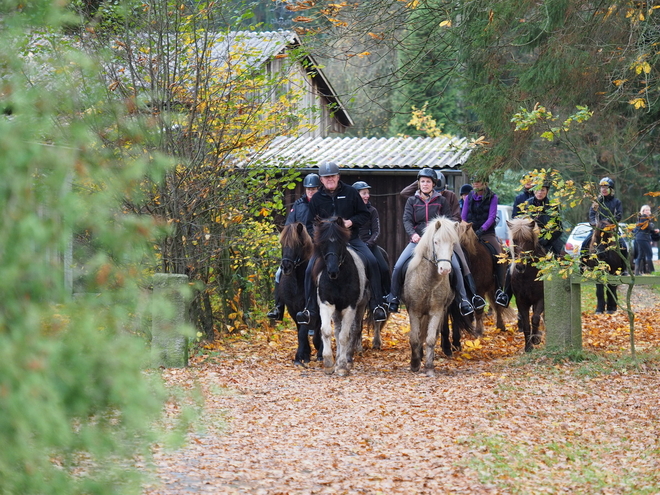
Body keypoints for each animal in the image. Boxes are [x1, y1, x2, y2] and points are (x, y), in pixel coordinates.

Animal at [278, 223, 322, 366]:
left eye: (297, 244)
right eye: (282, 243)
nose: (286, 267)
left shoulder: (308, 309)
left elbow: (303, 331)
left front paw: (301, 356)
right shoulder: (293, 308)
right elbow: (299, 331)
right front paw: (304, 354)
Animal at [312, 217, 368, 376]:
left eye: (340, 243)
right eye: (323, 242)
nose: (332, 271)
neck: (338, 280)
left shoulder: (350, 307)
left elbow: (345, 336)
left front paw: (342, 365)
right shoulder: (326, 304)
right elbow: (326, 331)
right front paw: (329, 363)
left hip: (361, 305)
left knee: (354, 329)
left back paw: (348, 358)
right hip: (336, 310)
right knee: (337, 329)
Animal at [400, 216, 472, 376]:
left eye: (453, 243)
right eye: (436, 242)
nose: (444, 269)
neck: (428, 281)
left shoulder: (436, 311)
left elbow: (431, 338)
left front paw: (429, 367)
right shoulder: (414, 311)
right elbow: (414, 338)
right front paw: (415, 364)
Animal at [508, 218, 544, 352]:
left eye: (528, 240)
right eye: (514, 240)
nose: (520, 266)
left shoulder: (541, 299)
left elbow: (535, 318)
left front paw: (536, 339)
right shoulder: (521, 301)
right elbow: (526, 323)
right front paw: (528, 347)